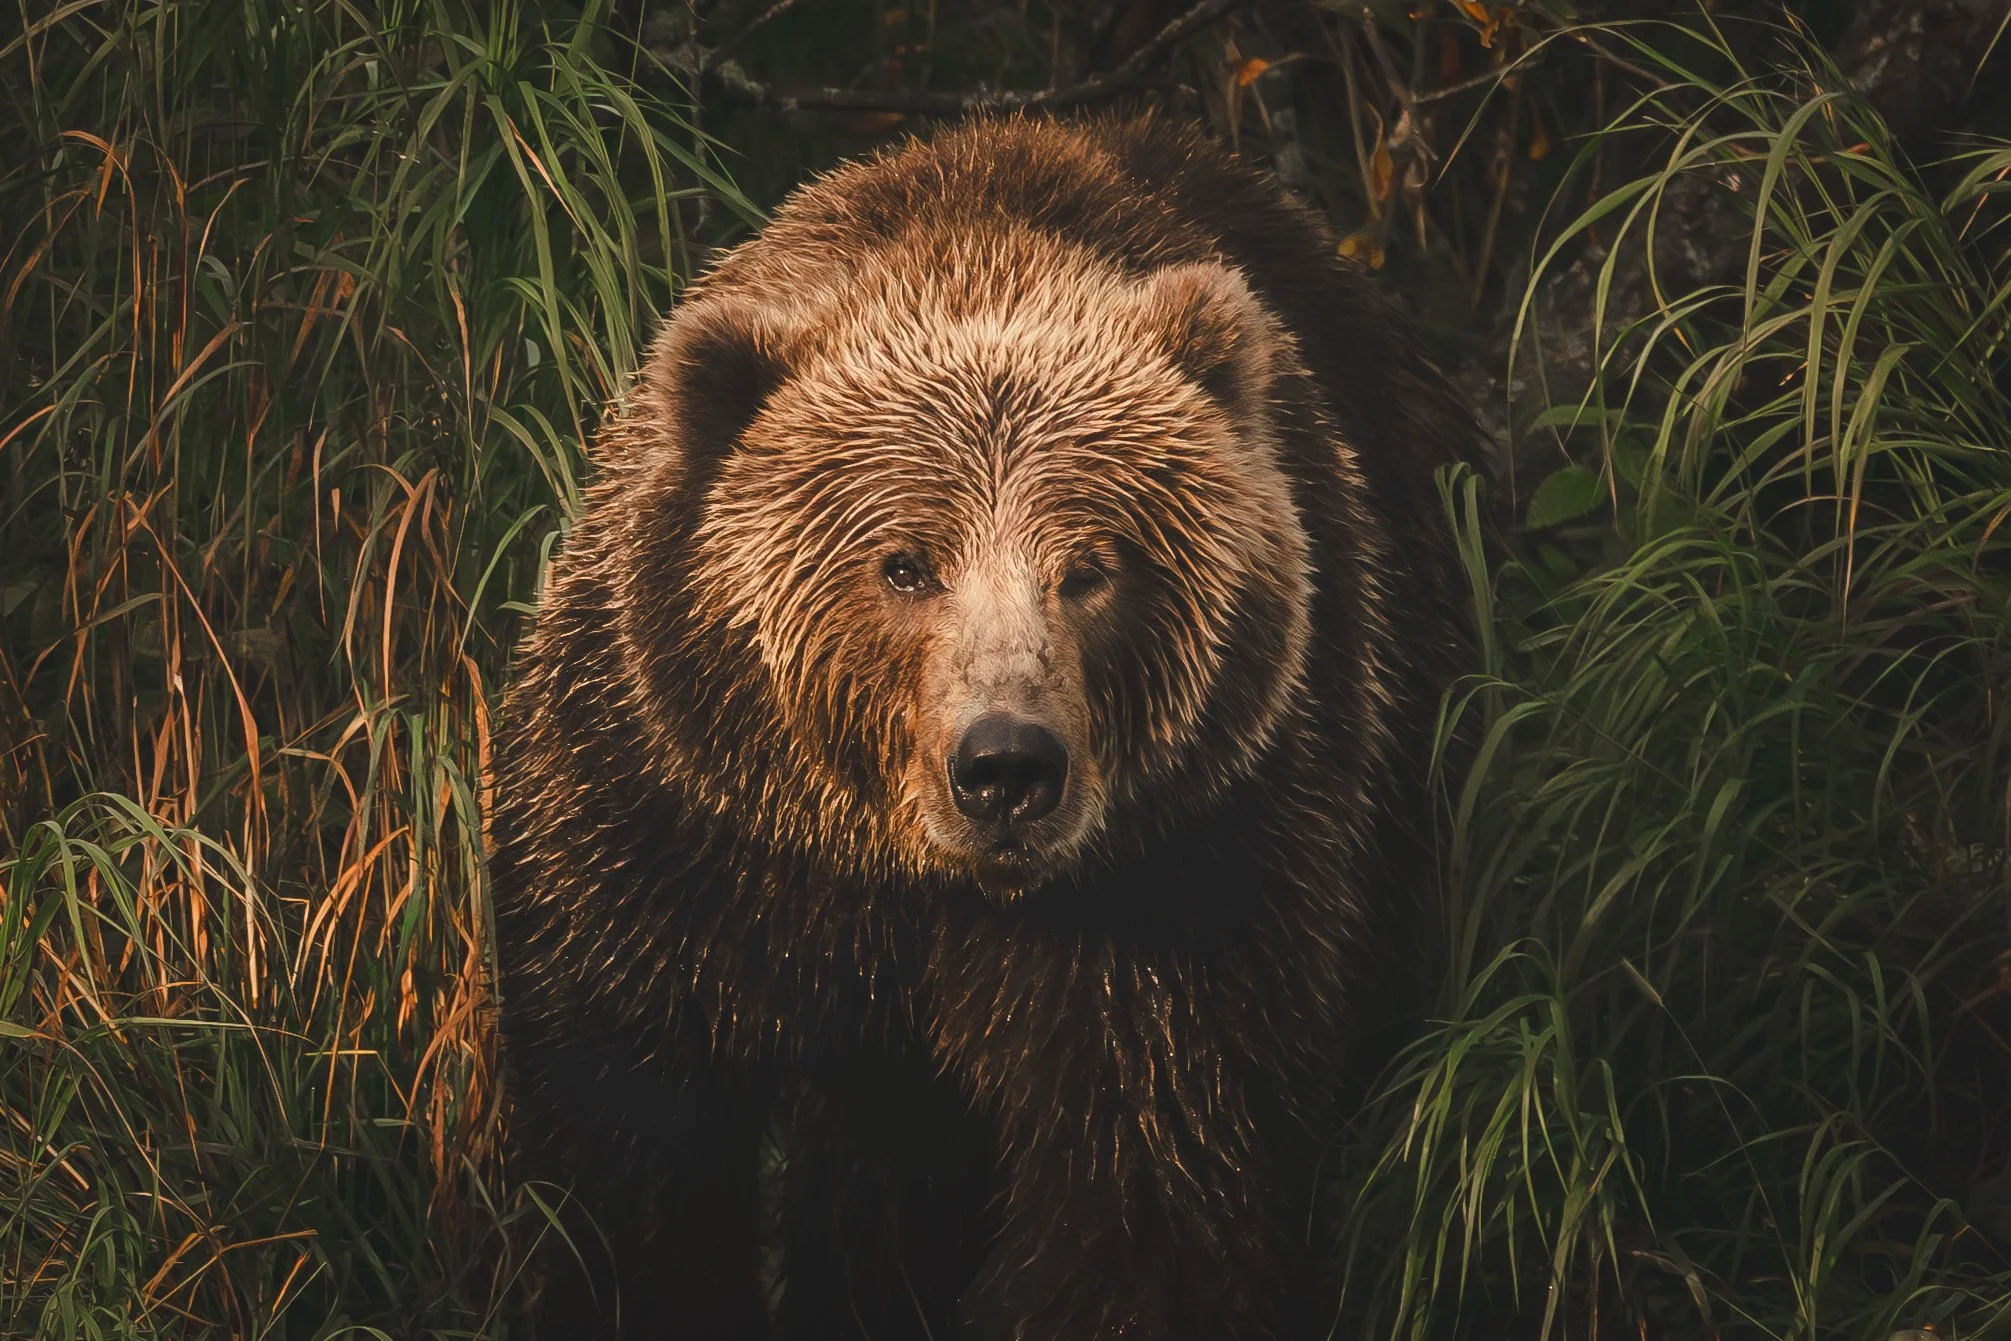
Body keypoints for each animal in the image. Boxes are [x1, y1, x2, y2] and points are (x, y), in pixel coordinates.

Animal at [489, 113, 1475, 1341]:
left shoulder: (1186, 881)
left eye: (1091, 566)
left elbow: (1154, 1191)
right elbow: (627, 1147)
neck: (911, 882)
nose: (1006, 764)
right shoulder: (675, 825)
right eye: (903, 563)